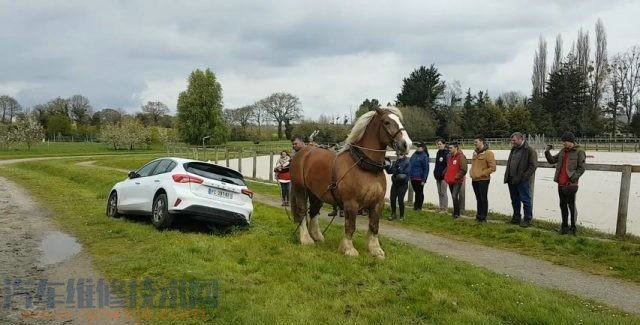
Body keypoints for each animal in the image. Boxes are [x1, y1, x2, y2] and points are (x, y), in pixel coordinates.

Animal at [288, 106, 412, 258]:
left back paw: (317, 236)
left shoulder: (377, 202)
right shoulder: (351, 203)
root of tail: (302, 151)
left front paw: (375, 249)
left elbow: (374, 226)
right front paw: (348, 248)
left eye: (399, 120)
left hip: (317, 193)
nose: (406, 144)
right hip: (300, 189)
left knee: (313, 211)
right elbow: (350, 226)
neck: (365, 166)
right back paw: (306, 238)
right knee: (302, 211)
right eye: (386, 122)